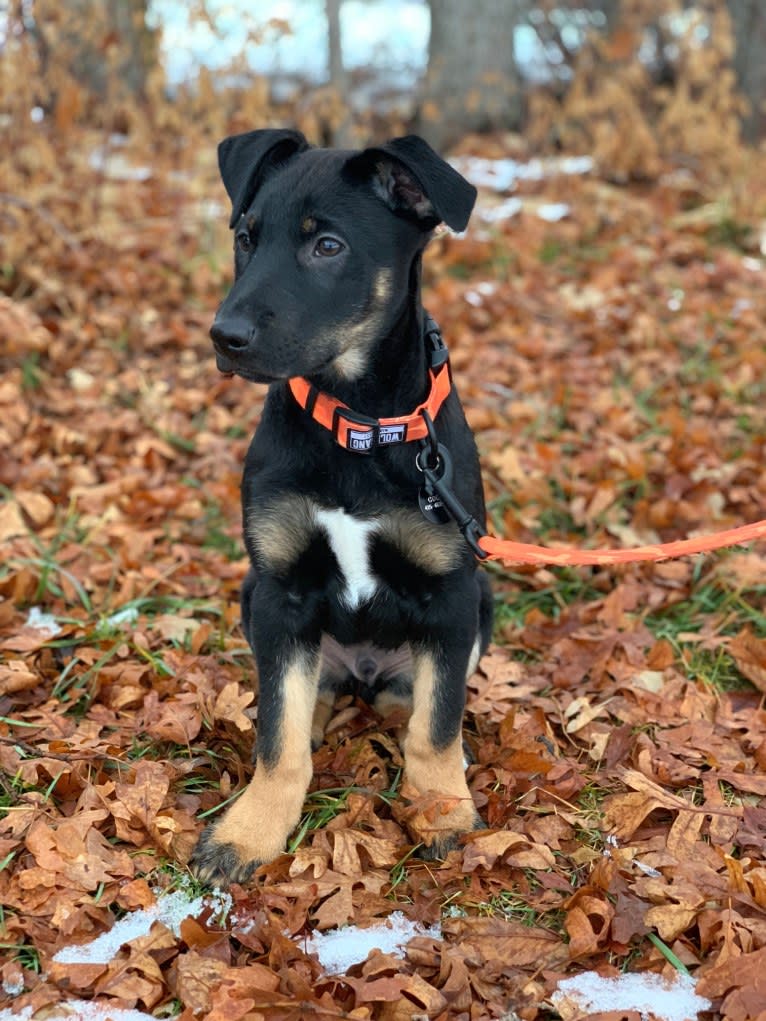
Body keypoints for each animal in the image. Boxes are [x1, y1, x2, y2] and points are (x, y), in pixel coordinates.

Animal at [190, 129, 492, 886]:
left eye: (327, 246)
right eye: (246, 236)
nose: (223, 337)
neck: (357, 424)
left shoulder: (451, 591)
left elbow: (436, 725)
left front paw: (444, 810)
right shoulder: (281, 589)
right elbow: (280, 735)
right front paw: (251, 830)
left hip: (483, 601)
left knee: (418, 696)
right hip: (253, 598)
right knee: (302, 688)